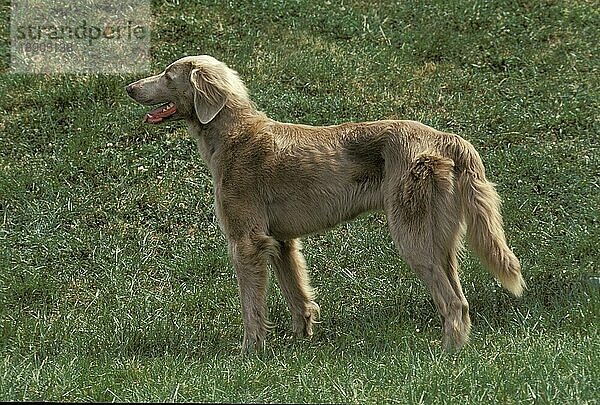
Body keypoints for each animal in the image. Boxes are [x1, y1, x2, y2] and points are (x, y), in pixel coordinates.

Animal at [127, 54, 524, 350]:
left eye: (167, 74)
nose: (129, 87)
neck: (234, 135)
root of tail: (446, 139)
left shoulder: (247, 242)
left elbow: (252, 306)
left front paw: (251, 351)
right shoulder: (281, 241)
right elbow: (297, 296)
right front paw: (301, 342)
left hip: (413, 237)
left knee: (452, 302)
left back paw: (446, 355)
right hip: (441, 240)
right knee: (461, 299)